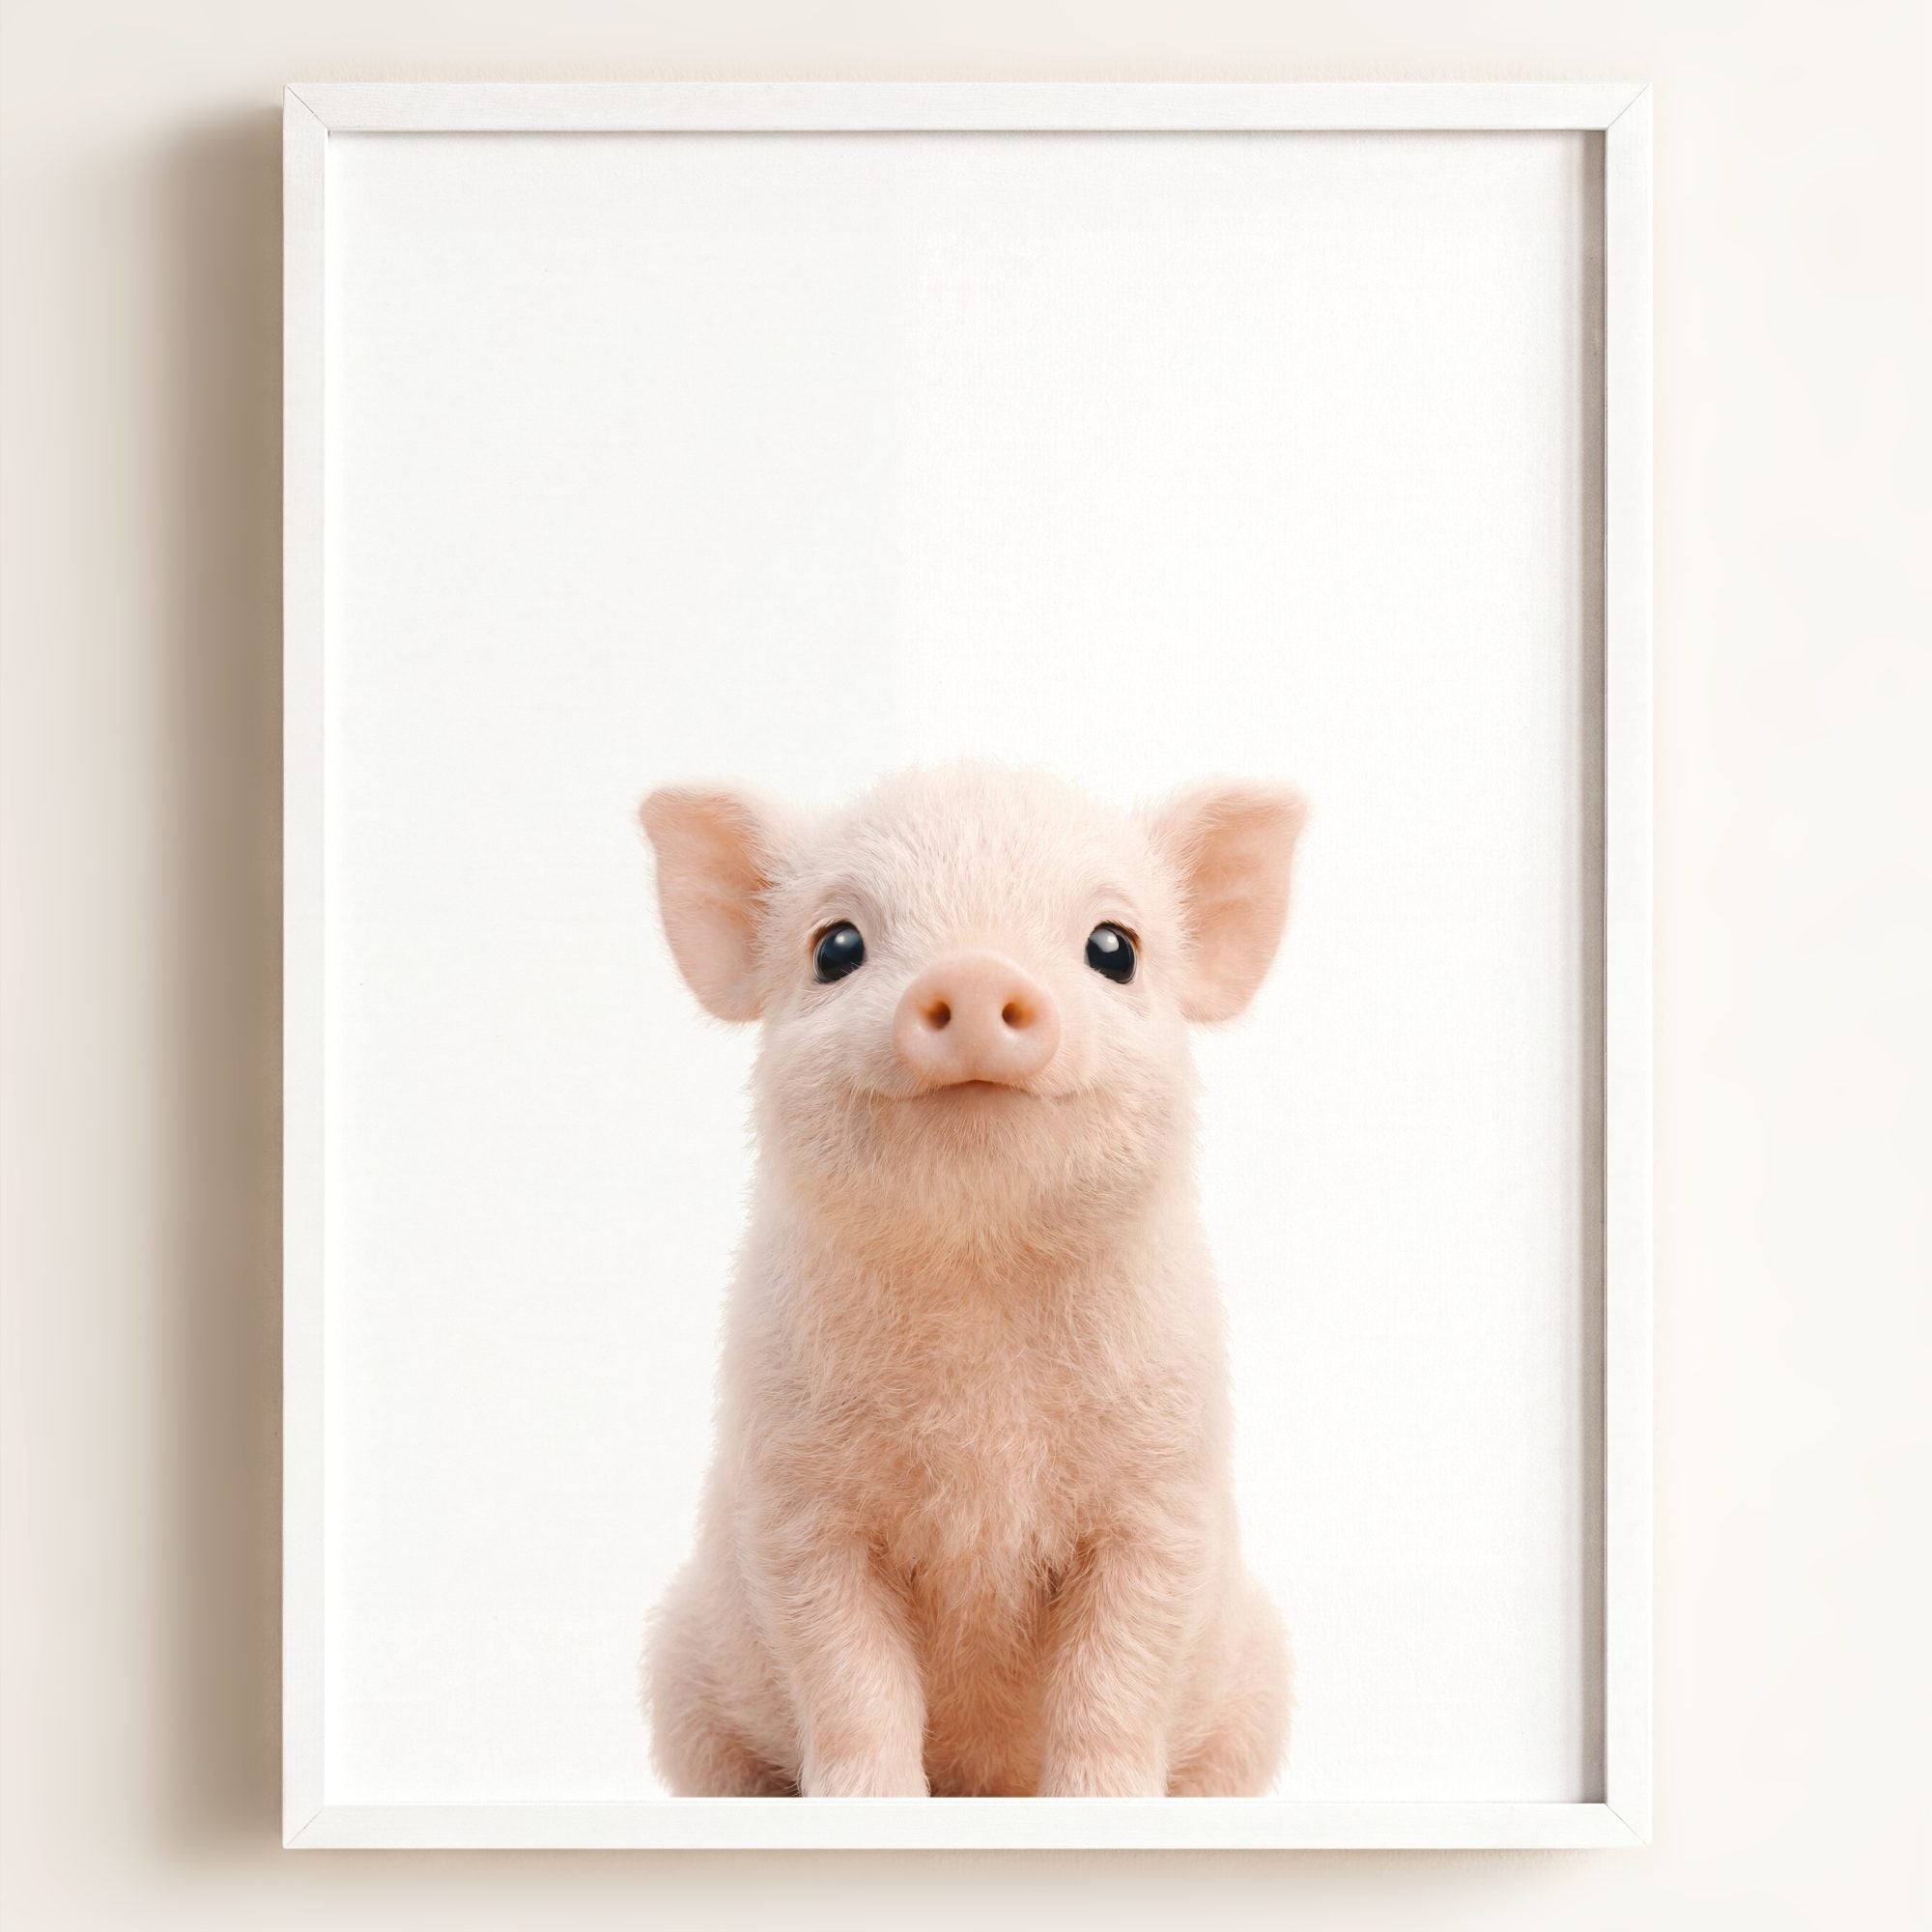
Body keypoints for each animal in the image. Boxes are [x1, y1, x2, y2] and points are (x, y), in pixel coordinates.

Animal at [638, 762, 1306, 1797]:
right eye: (836, 947)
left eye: (1114, 948)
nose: (977, 970)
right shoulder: (795, 1506)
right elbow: (849, 1677)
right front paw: (865, 1803)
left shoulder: (1164, 1498)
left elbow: (1117, 1678)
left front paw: (1104, 1802)